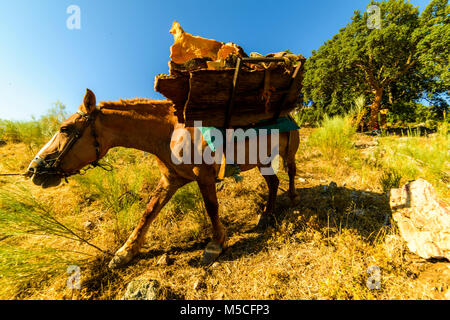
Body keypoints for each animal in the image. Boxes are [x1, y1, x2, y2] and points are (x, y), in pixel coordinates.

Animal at [27, 89, 298, 268]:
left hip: (288, 153)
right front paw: (125, 252)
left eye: (65, 129)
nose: (34, 169)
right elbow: (148, 212)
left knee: (292, 173)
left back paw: (293, 199)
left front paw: (216, 244)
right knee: (274, 183)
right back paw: (266, 215)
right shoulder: (170, 180)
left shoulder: (204, 176)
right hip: (263, 161)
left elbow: (212, 207)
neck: (171, 132)